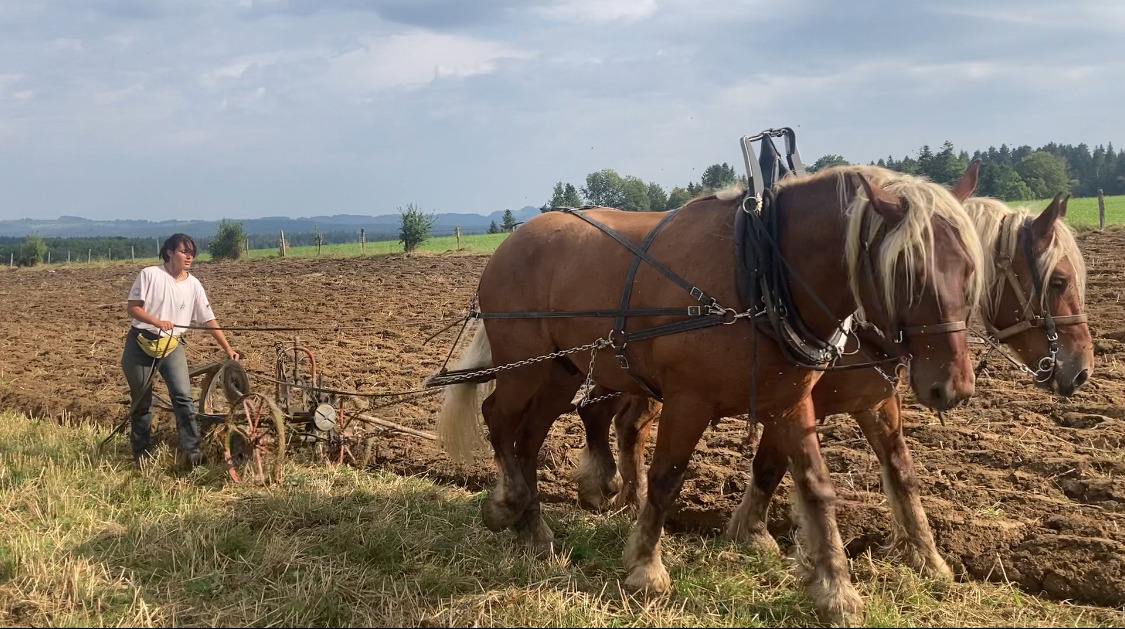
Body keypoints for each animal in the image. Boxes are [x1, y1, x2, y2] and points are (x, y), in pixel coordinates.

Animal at [435, 164, 984, 623]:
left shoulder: (794, 403)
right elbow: (666, 479)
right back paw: (508, 503)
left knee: (536, 433)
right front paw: (646, 569)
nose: (953, 387)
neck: (759, 276)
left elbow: (819, 485)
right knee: (500, 418)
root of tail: (512, 239)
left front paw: (838, 590)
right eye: (908, 271)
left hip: (565, 370)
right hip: (527, 366)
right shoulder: (688, 400)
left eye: (968, 269)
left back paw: (535, 529)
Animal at [575, 177, 1092, 583]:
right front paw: (753, 532)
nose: (1082, 369)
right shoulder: (793, 401)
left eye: (970, 273)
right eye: (1059, 281)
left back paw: (625, 494)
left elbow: (901, 474)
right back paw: (605, 488)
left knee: (624, 424)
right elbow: (770, 466)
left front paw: (930, 560)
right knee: (604, 417)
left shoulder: (875, 401)